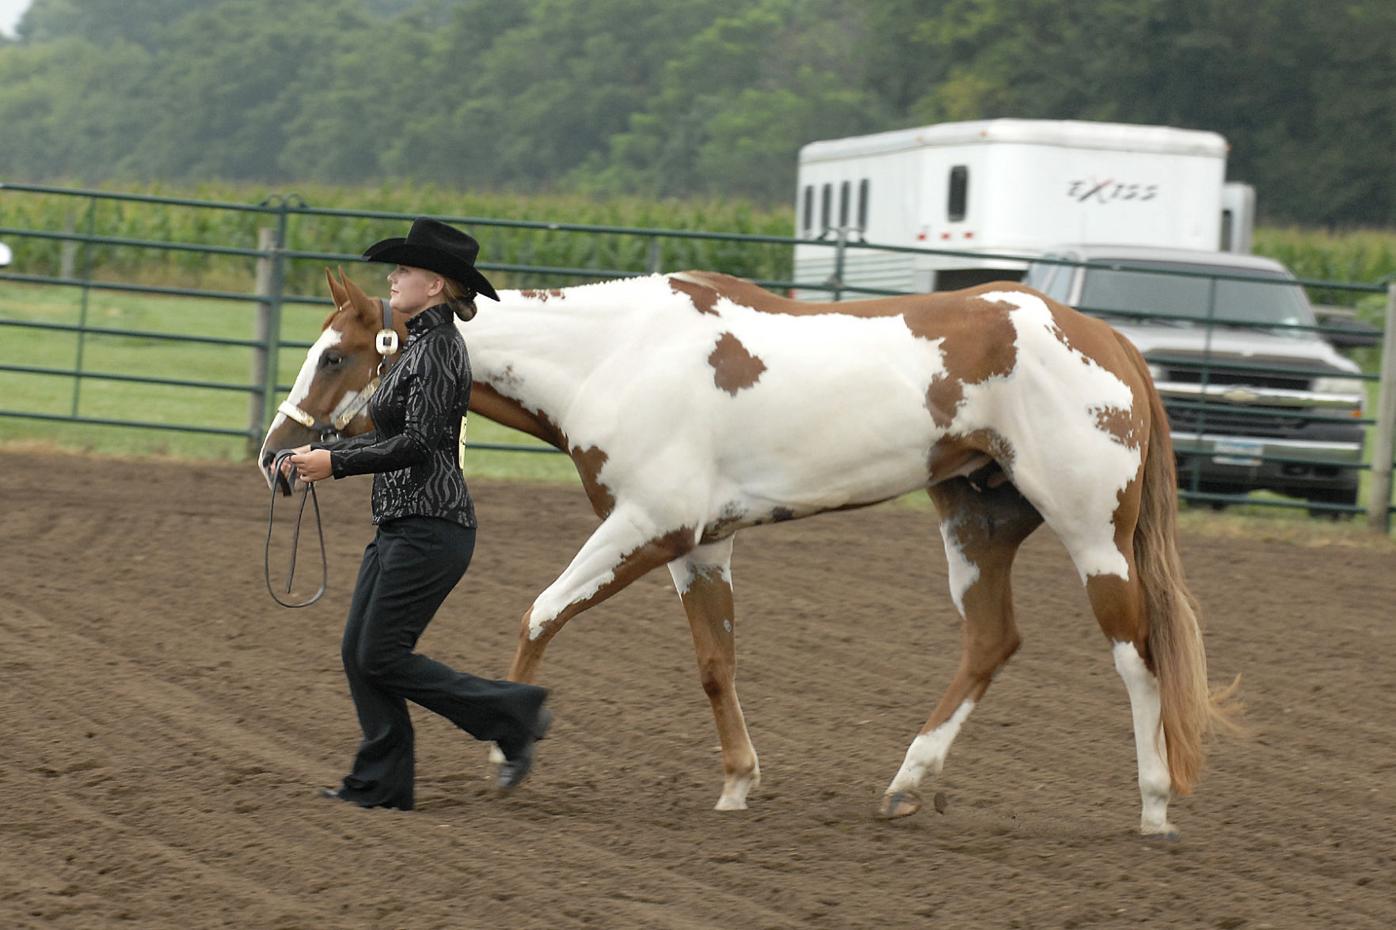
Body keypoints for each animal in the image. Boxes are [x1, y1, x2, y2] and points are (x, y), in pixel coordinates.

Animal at [259, 266, 1239, 837]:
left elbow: (540, 613)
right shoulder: (699, 546)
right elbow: (714, 663)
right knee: (993, 642)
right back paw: (907, 784)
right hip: (977, 520)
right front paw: (738, 784)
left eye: (338, 356)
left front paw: (507, 754)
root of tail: (1110, 340)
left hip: (1090, 530)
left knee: (1137, 656)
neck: (615, 355)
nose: (278, 453)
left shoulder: (647, 526)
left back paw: (1155, 805)